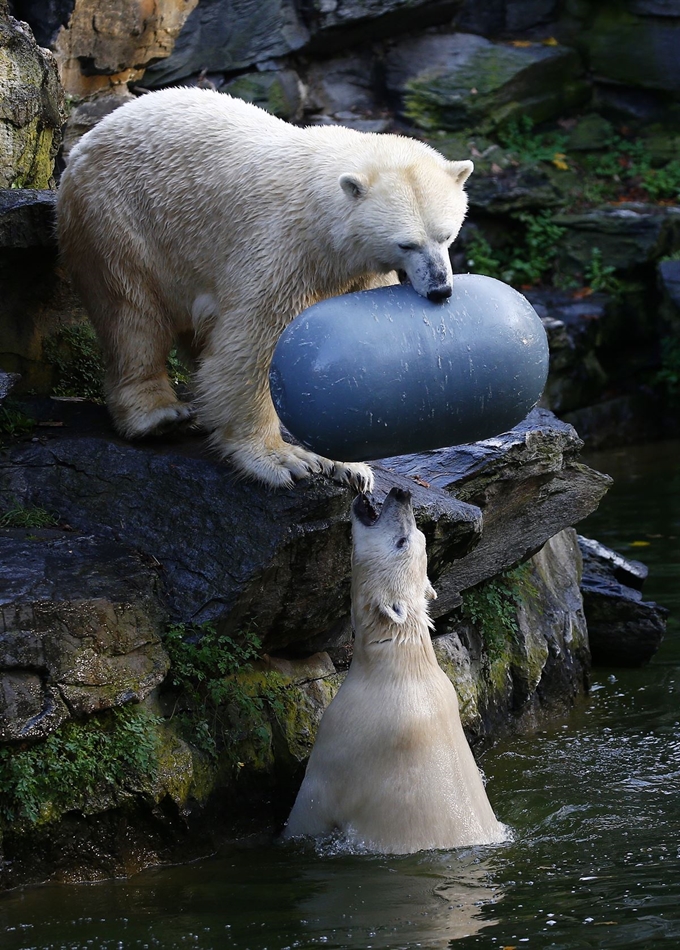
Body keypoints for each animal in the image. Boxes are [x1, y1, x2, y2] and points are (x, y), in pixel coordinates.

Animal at [55, 88, 472, 490]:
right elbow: (253, 345)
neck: (320, 215)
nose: (440, 289)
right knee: (133, 312)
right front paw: (282, 459)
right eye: (407, 244)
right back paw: (157, 414)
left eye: (447, 235)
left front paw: (348, 465)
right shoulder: (282, 248)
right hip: (121, 219)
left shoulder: (356, 270)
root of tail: (89, 137)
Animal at [282, 490, 504, 856]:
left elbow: (311, 806)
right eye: (418, 535)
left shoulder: (347, 737)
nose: (402, 494)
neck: (400, 665)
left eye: (403, 540)